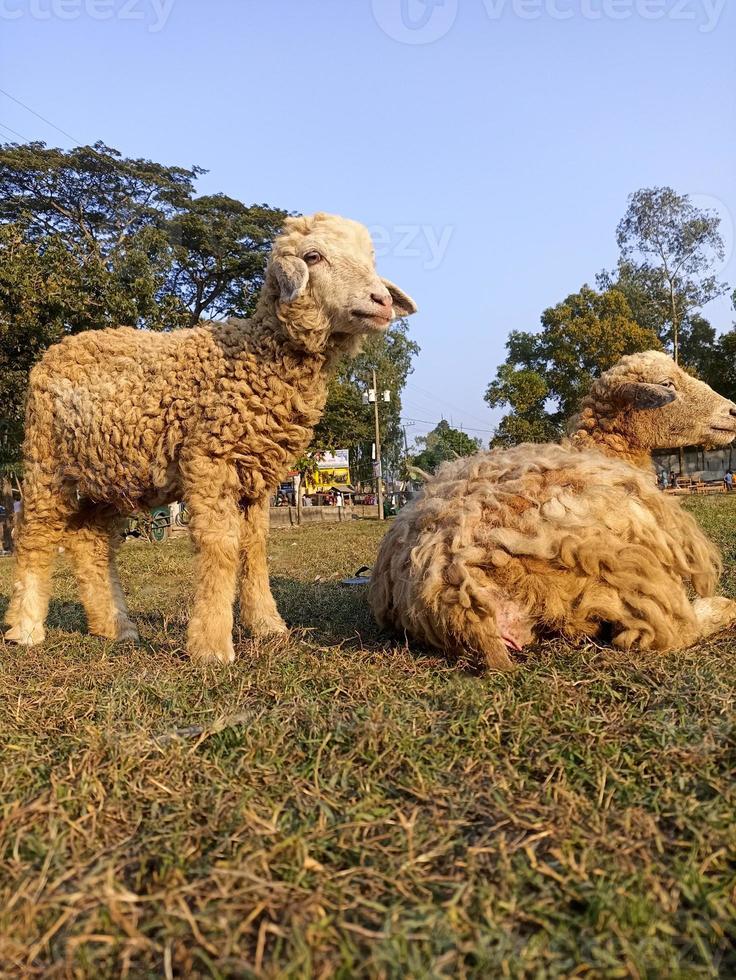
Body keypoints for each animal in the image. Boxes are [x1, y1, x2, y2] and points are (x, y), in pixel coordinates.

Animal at [5, 211, 416, 664]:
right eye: (313, 256)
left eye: (369, 257)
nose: (381, 300)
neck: (259, 354)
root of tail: (56, 348)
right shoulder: (209, 460)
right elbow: (221, 546)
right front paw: (212, 646)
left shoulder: (257, 476)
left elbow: (254, 547)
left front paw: (267, 626)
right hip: (47, 458)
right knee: (35, 533)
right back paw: (26, 628)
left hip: (112, 472)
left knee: (88, 539)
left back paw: (116, 626)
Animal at [370, 348, 736, 668]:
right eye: (667, 384)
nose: (733, 410)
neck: (604, 451)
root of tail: (451, 580)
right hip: (625, 564)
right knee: (669, 630)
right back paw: (720, 608)